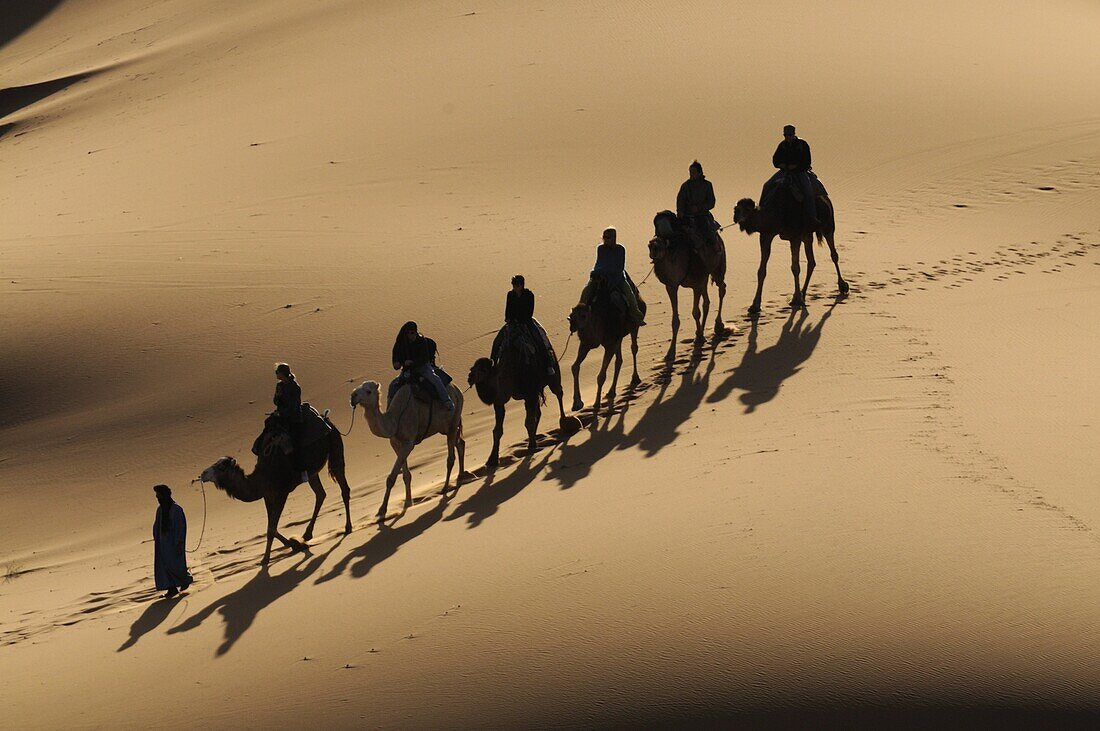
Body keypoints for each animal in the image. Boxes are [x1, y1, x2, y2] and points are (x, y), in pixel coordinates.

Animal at [199, 415, 352, 562]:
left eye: (221, 467)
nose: (203, 474)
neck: (264, 475)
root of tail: (327, 421)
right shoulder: (268, 495)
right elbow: (271, 526)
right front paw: (294, 543)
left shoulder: (281, 493)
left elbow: (271, 528)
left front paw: (265, 559)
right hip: (312, 472)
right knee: (320, 494)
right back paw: (307, 534)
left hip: (335, 448)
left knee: (344, 488)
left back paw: (347, 527)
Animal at [466, 329, 585, 468]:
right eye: (472, 368)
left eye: (483, 370)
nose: (470, 377)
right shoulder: (500, 401)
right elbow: (497, 430)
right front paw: (492, 460)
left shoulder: (530, 392)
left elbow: (529, 421)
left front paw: (532, 446)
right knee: (538, 412)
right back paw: (534, 436)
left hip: (553, 375)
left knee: (558, 394)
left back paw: (565, 421)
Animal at [567, 279, 642, 413]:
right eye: (572, 316)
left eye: (583, 315)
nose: (573, 326)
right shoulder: (586, 344)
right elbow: (575, 367)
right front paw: (577, 403)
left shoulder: (609, 344)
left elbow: (601, 376)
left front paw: (596, 404)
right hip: (618, 338)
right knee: (619, 360)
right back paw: (611, 392)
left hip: (634, 327)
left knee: (634, 348)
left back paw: (635, 378)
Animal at [646, 209, 726, 351]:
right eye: (656, 227)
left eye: (662, 244)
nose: (653, 246)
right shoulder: (671, 286)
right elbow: (675, 319)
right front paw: (671, 351)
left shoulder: (696, 284)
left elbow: (696, 312)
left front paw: (699, 337)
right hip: (704, 277)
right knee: (707, 302)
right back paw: (702, 331)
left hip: (718, 267)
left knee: (721, 288)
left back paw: (718, 326)